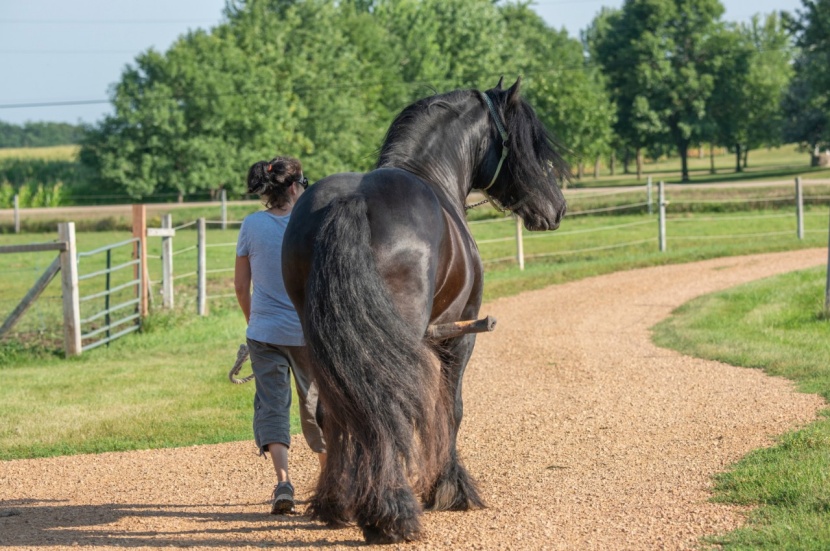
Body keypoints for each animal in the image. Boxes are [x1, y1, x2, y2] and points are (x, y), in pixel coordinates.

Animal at [281, 77, 569, 544]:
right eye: (528, 143)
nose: (556, 207)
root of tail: (351, 202)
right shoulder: (459, 335)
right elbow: (450, 409)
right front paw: (450, 489)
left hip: (321, 340)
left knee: (337, 411)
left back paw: (337, 502)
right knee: (386, 409)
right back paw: (390, 513)